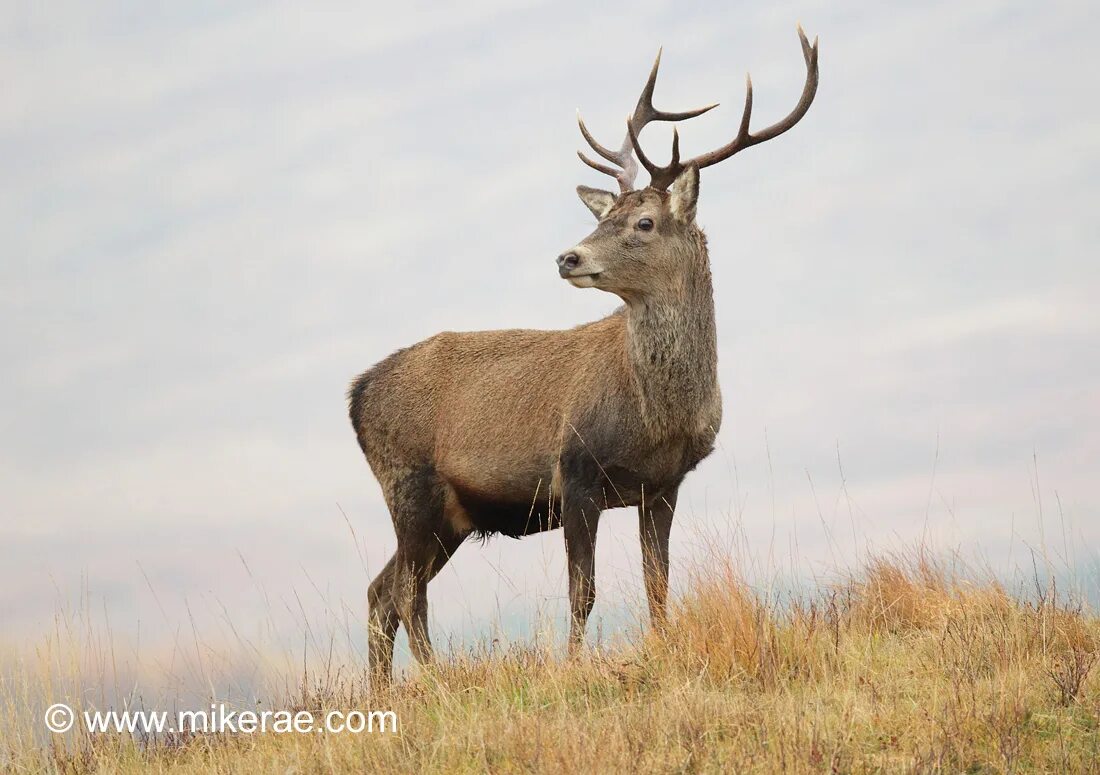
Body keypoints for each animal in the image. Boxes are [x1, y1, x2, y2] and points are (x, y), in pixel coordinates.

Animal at [347, 27, 822, 681]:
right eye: (605, 217)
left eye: (644, 222)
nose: (567, 256)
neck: (657, 415)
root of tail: (356, 395)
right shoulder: (574, 469)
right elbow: (583, 590)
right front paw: (575, 664)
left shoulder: (664, 484)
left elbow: (656, 583)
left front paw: (662, 648)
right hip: (409, 483)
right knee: (404, 593)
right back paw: (435, 678)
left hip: (450, 515)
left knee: (380, 592)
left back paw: (386, 692)